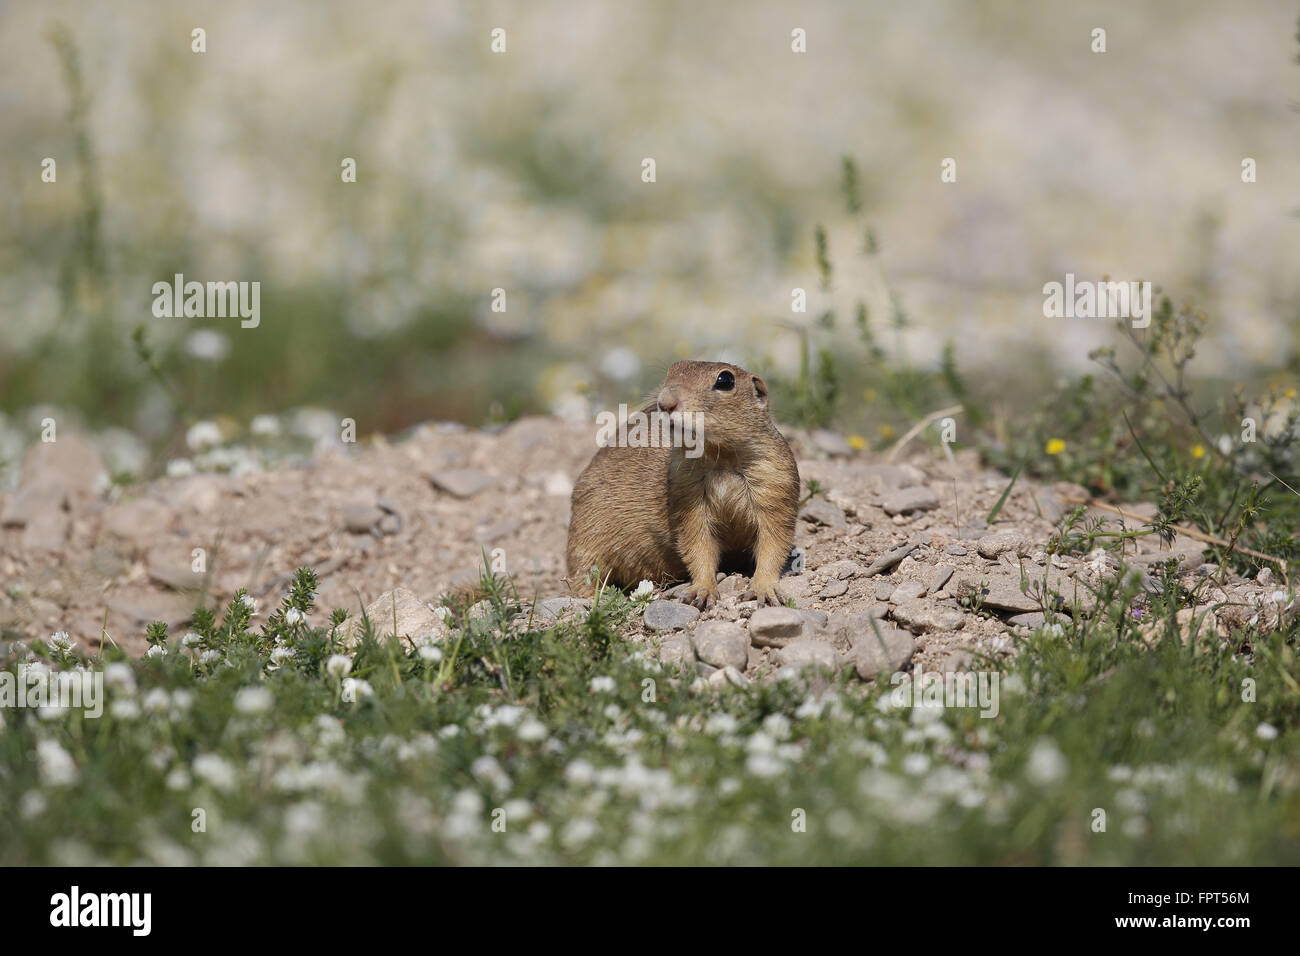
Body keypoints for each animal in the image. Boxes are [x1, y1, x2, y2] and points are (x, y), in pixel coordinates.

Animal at [569, 361, 800, 608]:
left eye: (725, 380)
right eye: (672, 370)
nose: (665, 401)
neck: (720, 459)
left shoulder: (775, 481)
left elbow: (774, 541)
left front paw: (763, 590)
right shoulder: (685, 494)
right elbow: (698, 545)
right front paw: (702, 591)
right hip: (584, 537)